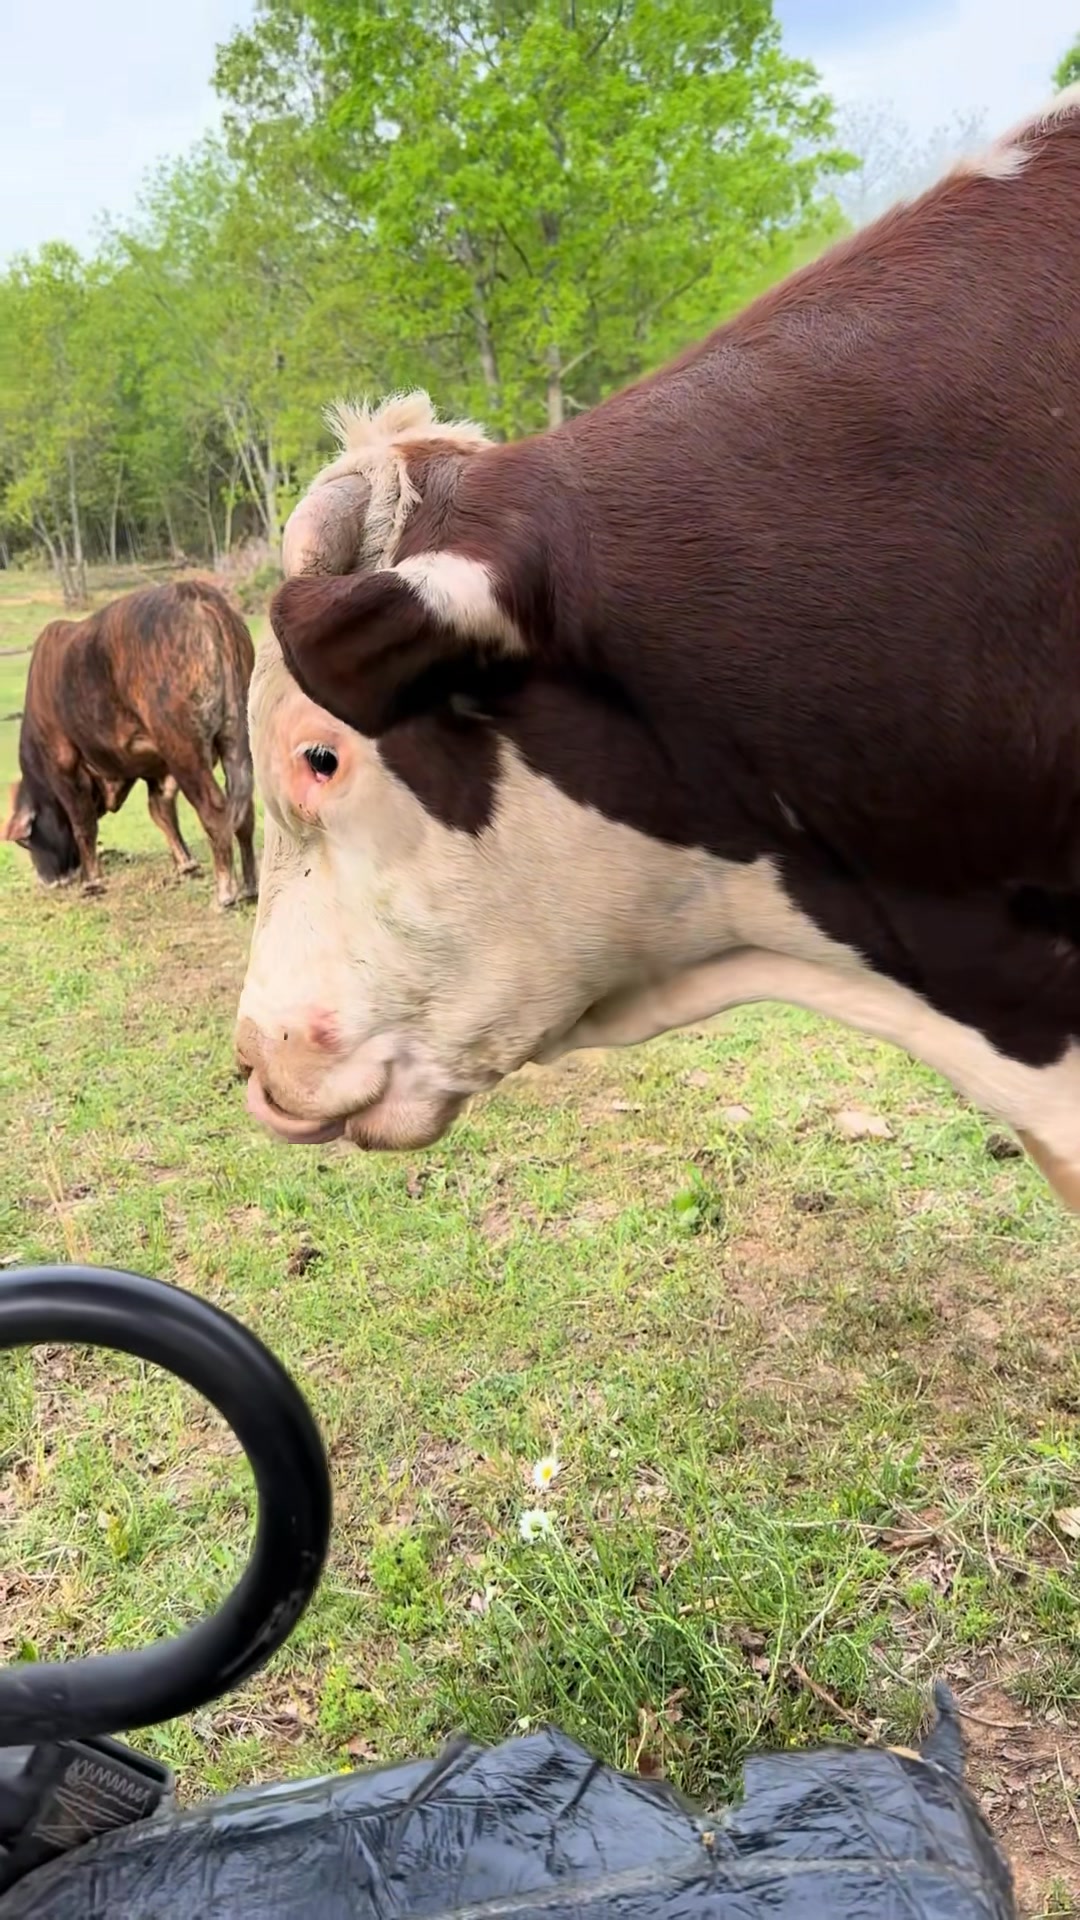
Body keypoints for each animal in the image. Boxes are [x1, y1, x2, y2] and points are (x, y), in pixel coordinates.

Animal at [3, 580, 257, 908]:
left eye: (25, 839)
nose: (48, 880)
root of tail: (195, 593)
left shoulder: (64, 764)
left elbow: (82, 823)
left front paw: (92, 882)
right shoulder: (156, 769)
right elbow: (160, 811)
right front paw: (185, 864)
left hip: (184, 750)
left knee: (215, 809)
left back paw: (226, 892)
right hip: (236, 738)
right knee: (244, 809)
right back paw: (251, 886)